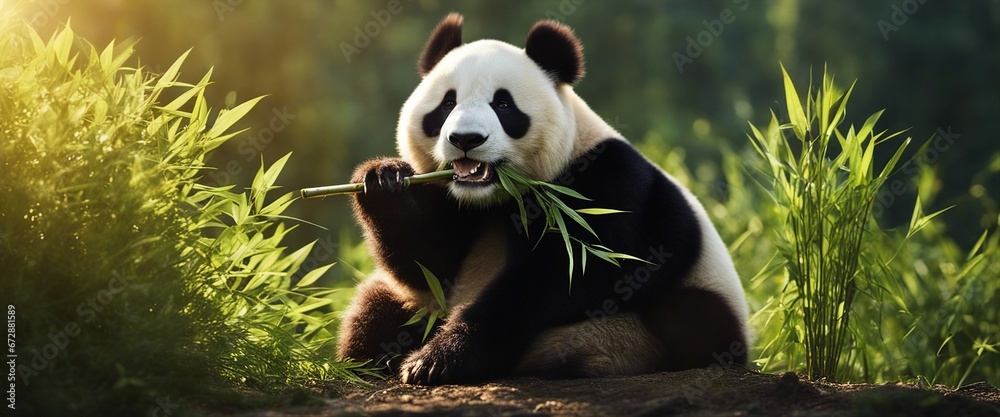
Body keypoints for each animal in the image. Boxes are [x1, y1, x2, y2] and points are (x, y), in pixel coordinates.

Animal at [337, 13, 750, 386]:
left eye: (503, 105)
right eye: (446, 104)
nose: (466, 139)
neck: (499, 199)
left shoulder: (605, 182)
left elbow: (568, 273)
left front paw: (437, 360)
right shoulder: (454, 204)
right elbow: (427, 264)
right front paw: (385, 181)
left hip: (695, 301)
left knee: (693, 317)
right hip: (422, 306)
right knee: (380, 305)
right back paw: (363, 360)